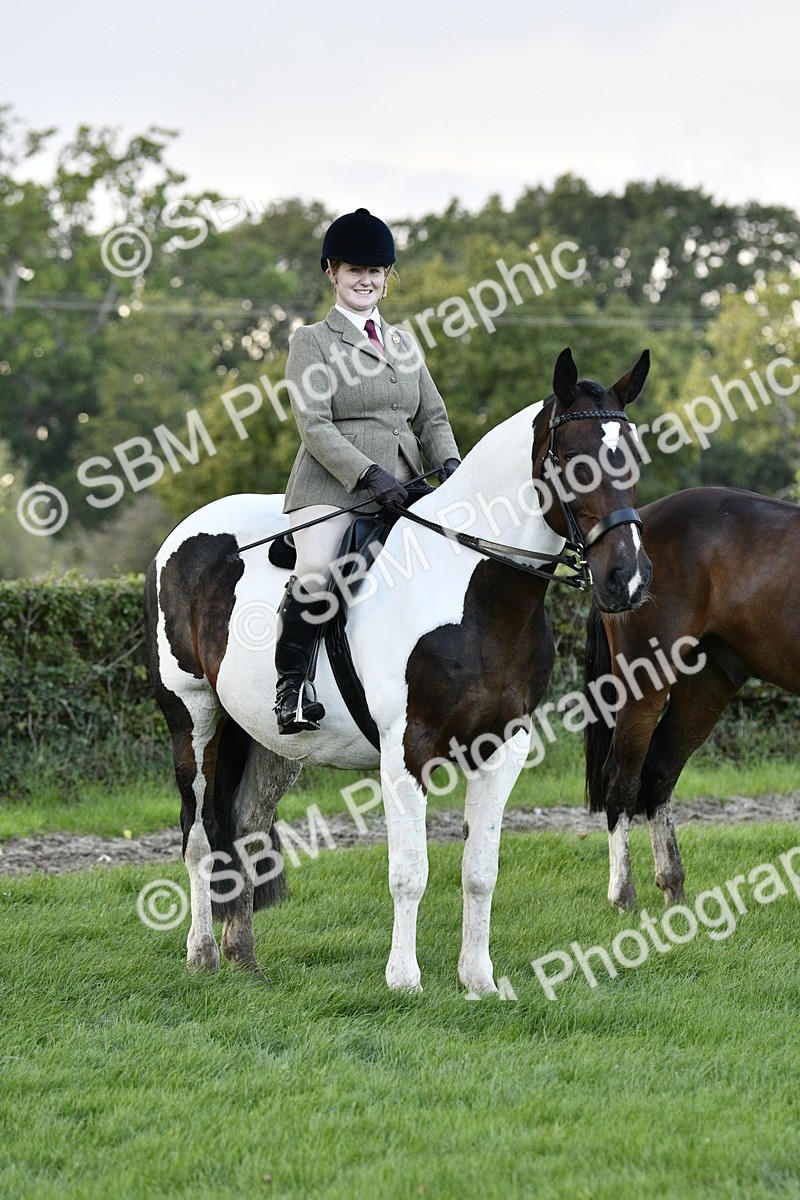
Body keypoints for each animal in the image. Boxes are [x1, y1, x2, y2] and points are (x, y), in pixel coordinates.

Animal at [144, 347, 652, 994]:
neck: (470, 590)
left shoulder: (504, 744)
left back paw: (245, 959)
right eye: (570, 459)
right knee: (198, 834)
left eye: (632, 455)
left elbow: (480, 869)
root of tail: (183, 535)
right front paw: (404, 979)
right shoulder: (407, 749)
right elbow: (409, 871)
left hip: (269, 740)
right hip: (193, 718)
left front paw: (478, 981)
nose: (627, 581)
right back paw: (204, 953)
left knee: (245, 828)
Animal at [584, 485, 800, 912]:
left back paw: (673, 886)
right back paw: (623, 895)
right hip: (644, 683)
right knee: (621, 775)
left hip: (708, 683)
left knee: (660, 770)